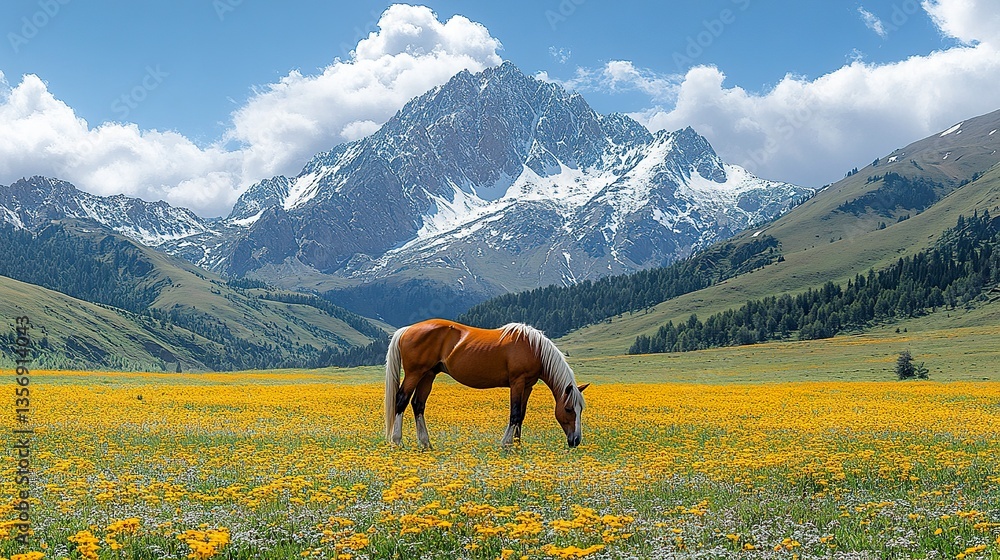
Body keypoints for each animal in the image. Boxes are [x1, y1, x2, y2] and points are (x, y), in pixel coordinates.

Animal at [384, 318, 589, 449]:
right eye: (569, 409)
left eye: (581, 410)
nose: (576, 441)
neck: (534, 348)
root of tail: (406, 329)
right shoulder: (517, 382)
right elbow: (514, 414)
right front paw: (507, 445)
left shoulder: (528, 386)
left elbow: (521, 416)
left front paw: (518, 445)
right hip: (415, 373)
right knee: (401, 400)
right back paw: (397, 441)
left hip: (428, 375)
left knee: (418, 405)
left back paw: (426, 444)